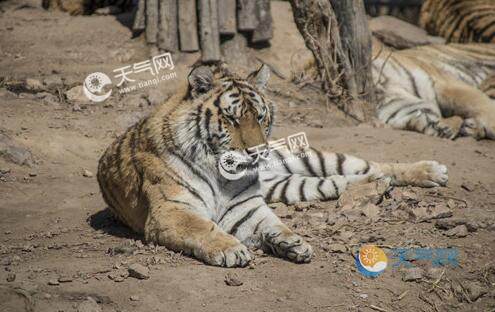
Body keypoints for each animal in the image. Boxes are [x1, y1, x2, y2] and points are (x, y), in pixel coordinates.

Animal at [96, 64, 450, 268]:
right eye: (232, 119)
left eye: (261, 116)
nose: (257, 152)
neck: (222, 175)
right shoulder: (171, 211)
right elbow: (202, 227)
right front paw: (233, 250)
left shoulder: (247, 208)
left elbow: (275, 224)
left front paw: (292, 242)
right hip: (293, 184)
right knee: (345, 179)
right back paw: (368, 187)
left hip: (309, 157)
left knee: (375, 165)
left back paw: (431, 171)